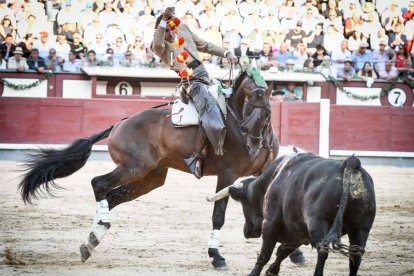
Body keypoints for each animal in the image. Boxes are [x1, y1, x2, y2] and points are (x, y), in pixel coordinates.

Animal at [17, 68, 280, 270]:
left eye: (268, 114)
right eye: (248, 111)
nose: (253, 146)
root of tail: (119, 124)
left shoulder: (263, 172)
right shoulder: (227, 175)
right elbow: (218, 215)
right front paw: (216, 256)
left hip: (150, 177)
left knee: (111, 197)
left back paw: (91, 241)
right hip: (134, 167)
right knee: (99, 184)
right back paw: (97, 231)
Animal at [209, 151, 376, 276]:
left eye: (244, 203)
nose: (247, 231)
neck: (274, 177)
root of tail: (349, 163)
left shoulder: (269, 223)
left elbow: (266, 253)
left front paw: (254, 273)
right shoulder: (298, 231)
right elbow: (282, 251)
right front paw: (272, 271)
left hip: (318, 223)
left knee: (323, 250)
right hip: (361, 228)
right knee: (356, 255)